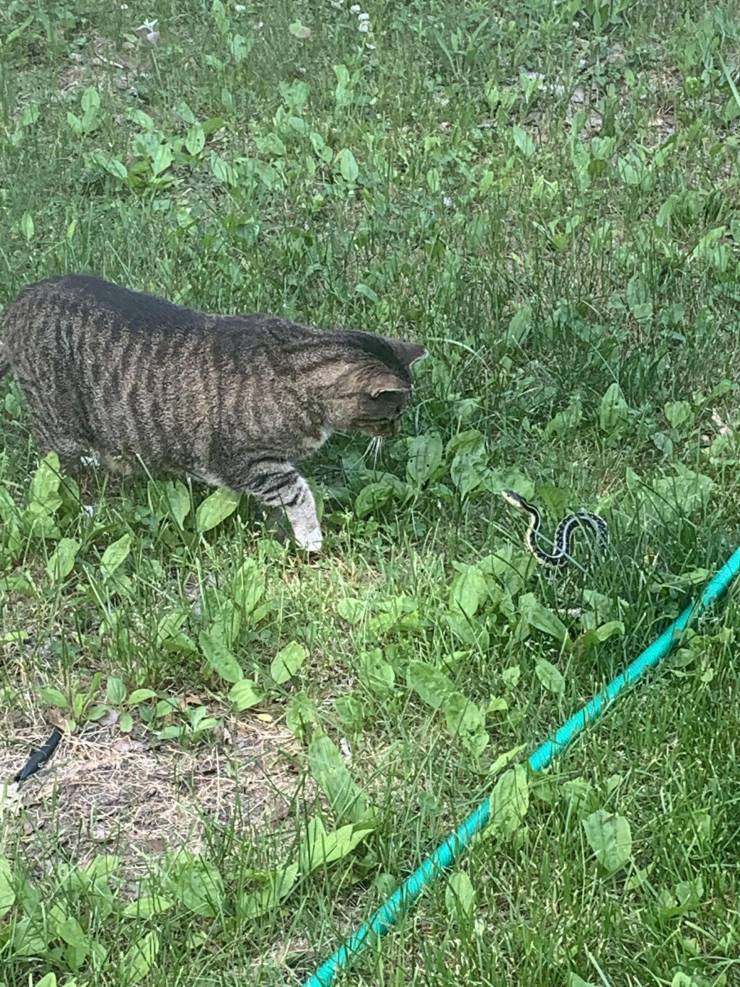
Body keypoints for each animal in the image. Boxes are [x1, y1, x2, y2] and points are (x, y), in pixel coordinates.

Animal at [0, 276, 424, 556]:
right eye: (395, 413)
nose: (397, 430)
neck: (297, 364)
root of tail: (22, 298)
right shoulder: (246, 461)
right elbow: (298, 491)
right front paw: (310, 538)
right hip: (58, 422)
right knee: (55, 466)